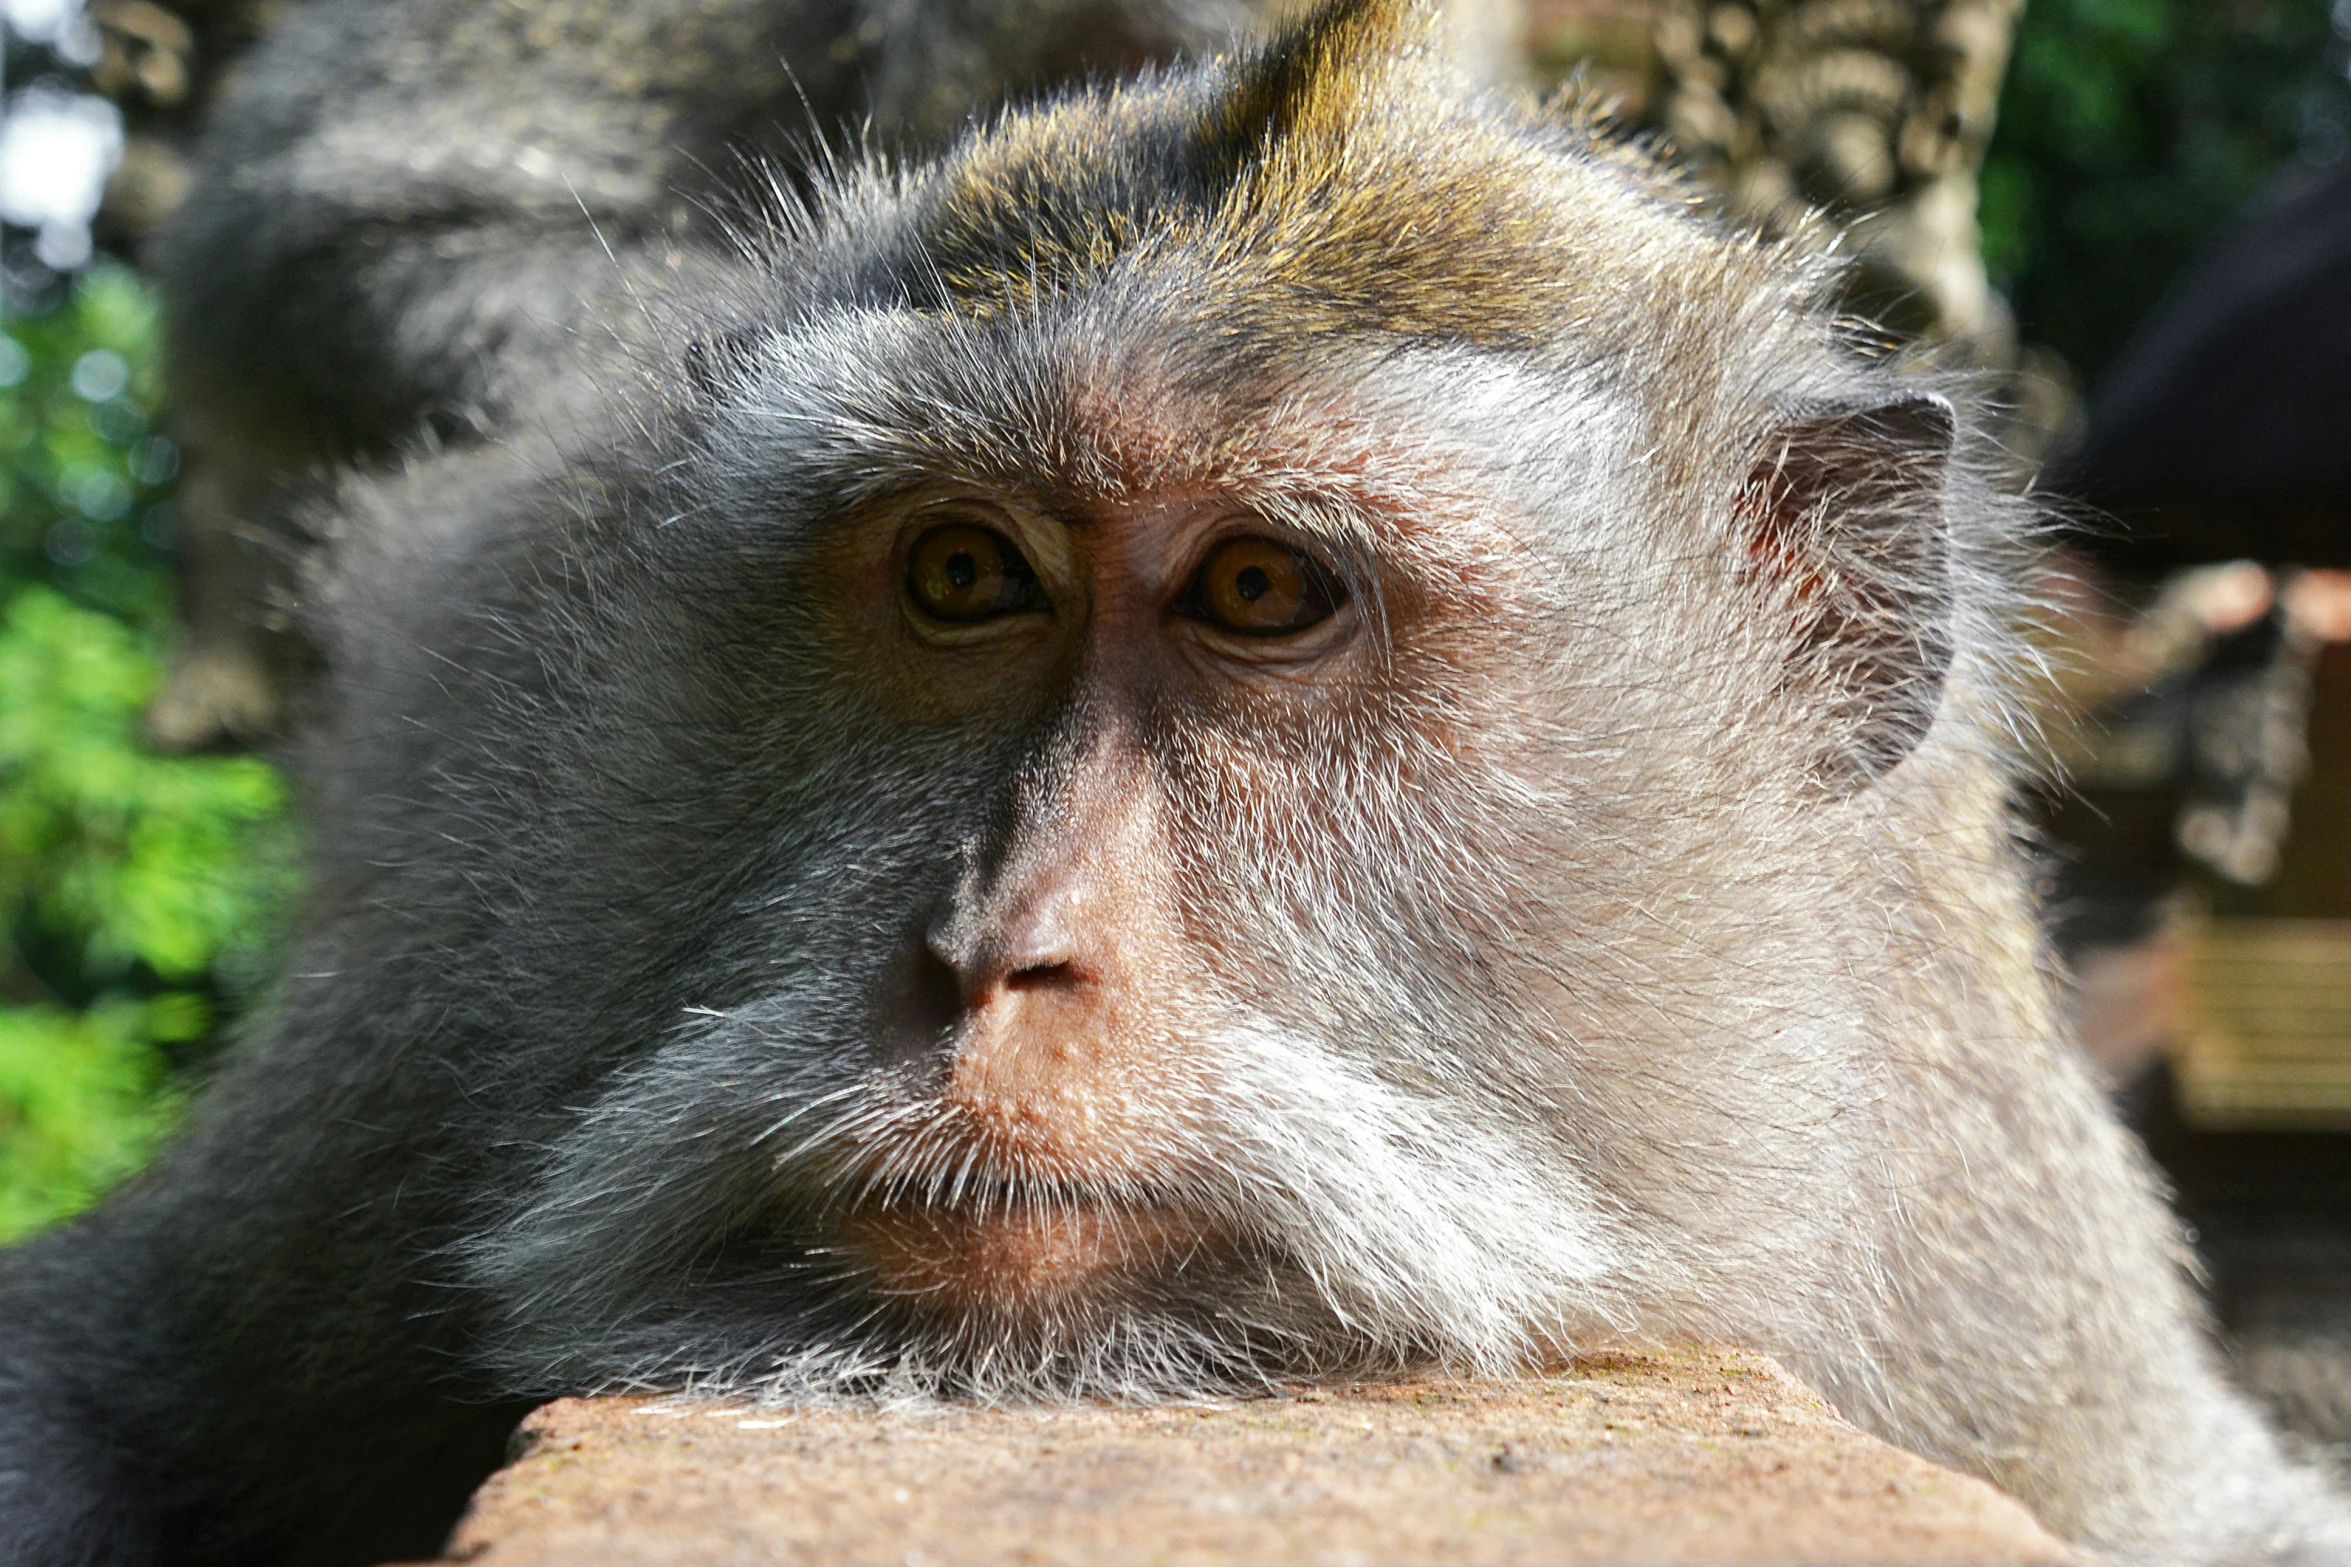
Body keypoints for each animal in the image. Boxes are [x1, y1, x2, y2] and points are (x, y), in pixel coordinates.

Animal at [4, 0, 2351, 1559]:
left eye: (1256, 591)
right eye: (966, 573)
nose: (987, 951)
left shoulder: (1973, 1231)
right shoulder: (459, 1022)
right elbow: (97, 1381)